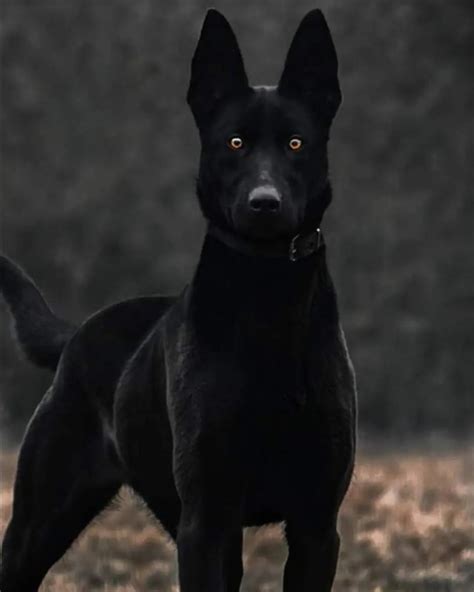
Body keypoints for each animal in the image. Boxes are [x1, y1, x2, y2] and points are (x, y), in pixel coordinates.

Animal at [0, 9, 356, 592]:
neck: (268, 300)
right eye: (234, 143)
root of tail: (77, 334)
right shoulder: (207, 521)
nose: (264, 204)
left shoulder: (315, 525)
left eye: (296, 144)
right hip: (39, 521)